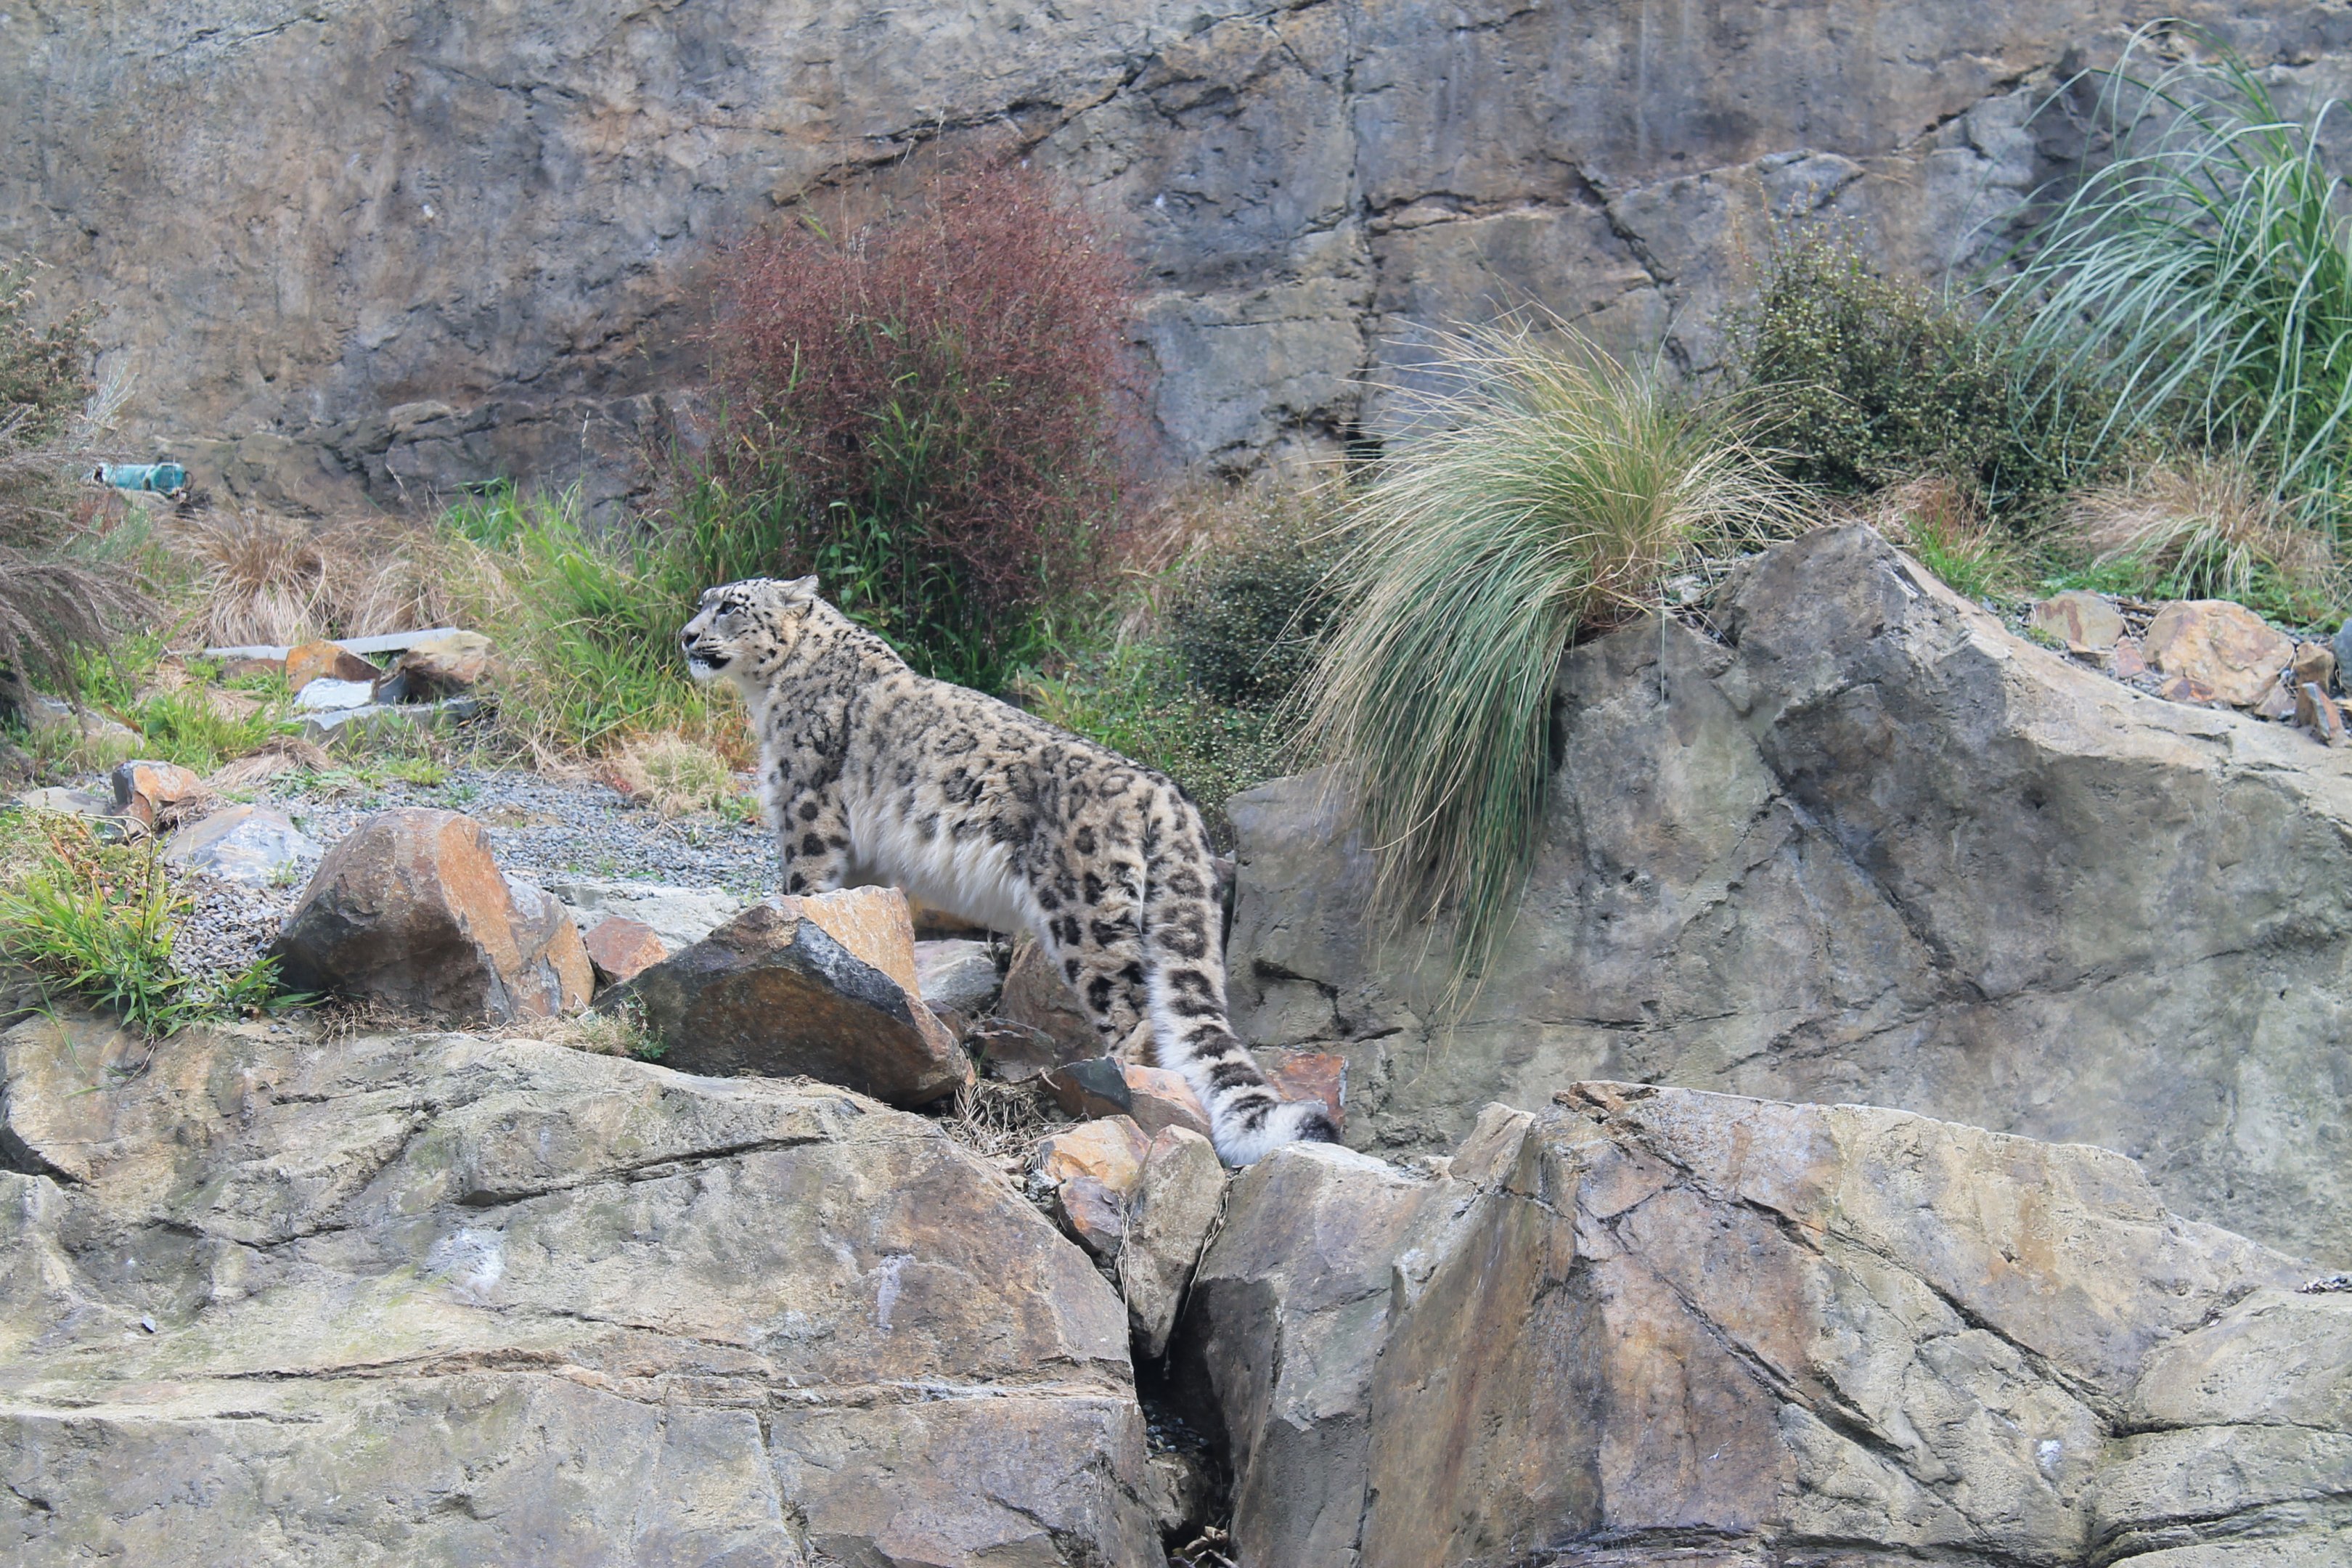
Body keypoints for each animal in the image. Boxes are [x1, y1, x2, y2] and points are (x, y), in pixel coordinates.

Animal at [679, 574, 1339, 1164]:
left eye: (730, 606)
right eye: (704, 601)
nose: (686, 636)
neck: (770, 695)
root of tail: (1167, 793)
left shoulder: (808, 815)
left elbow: (804, 890)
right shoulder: (866, 859)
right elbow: (870, 922)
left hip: (1086, 912)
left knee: (1132, 1005)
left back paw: (1115, 1084)